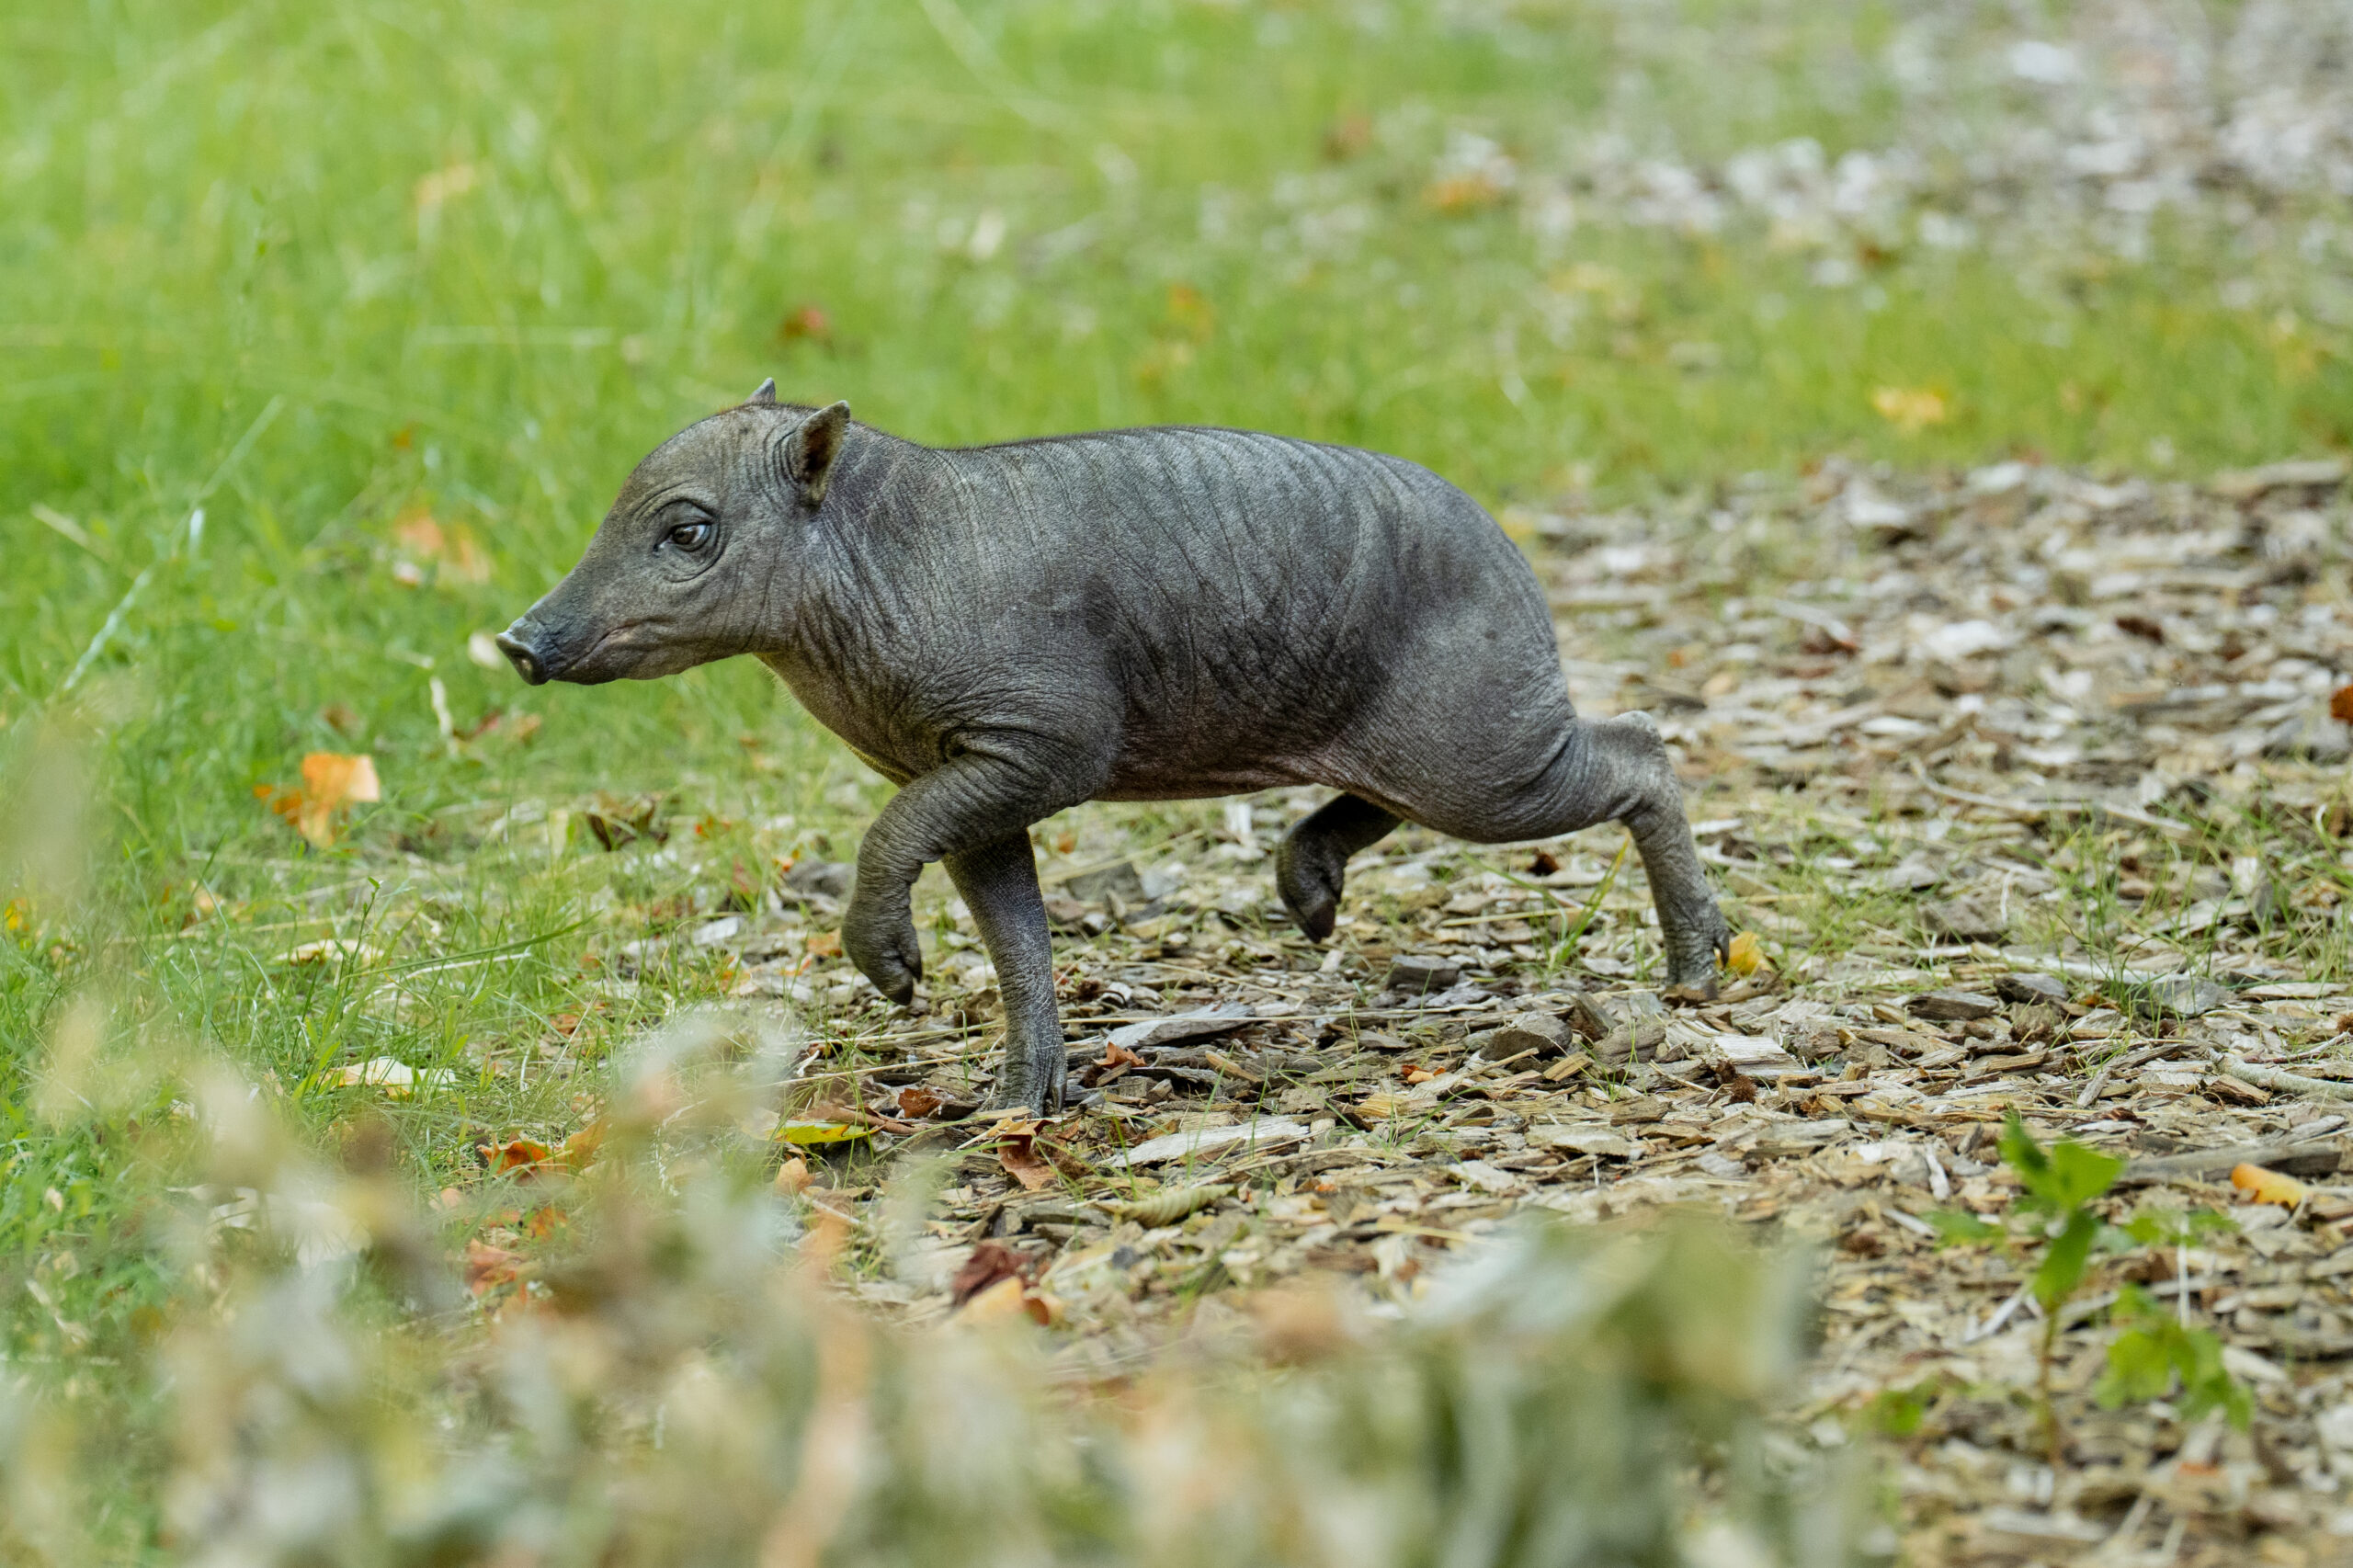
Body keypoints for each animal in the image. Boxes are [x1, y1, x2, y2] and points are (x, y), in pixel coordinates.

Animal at [497, 381, 1728, 1113]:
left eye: (687, 530)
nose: (516, 640)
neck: (879, 572)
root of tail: (1522, 573)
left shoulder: (1040, 743)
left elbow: (891, 837)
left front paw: (893, 973)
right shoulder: (971, 779)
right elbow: (1013, 935)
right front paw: (1015, 1100)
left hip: (1478, 747)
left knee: (1639, 747)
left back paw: (1697, 966)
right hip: (1420, 742)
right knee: (1384, 800)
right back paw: (1309, 898)